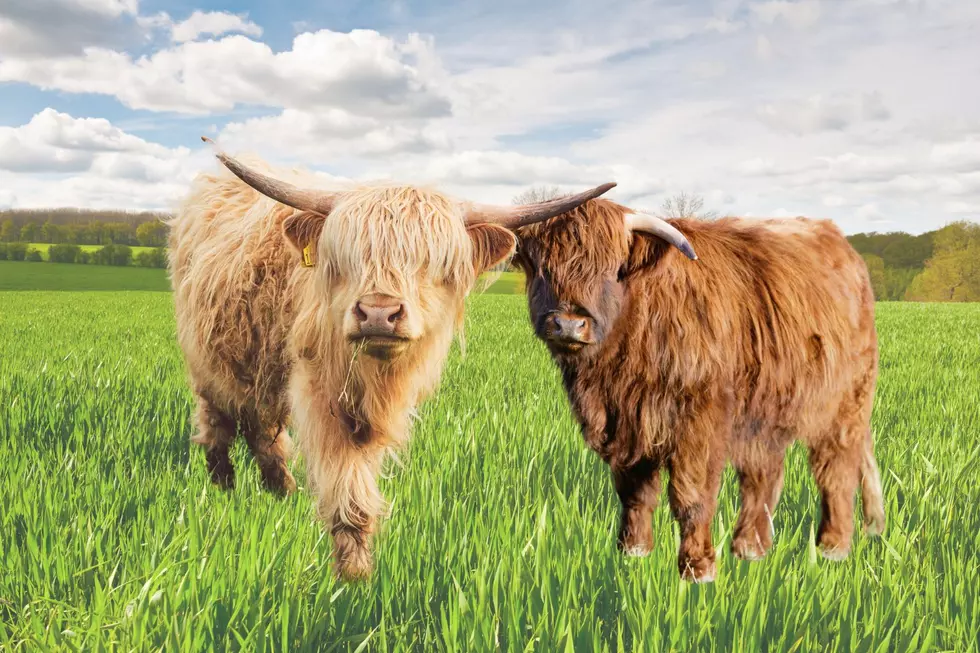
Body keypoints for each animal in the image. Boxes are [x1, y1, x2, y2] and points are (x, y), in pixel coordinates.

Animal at [167, 139, 615, 580]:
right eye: (346, 259)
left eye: (433, 263)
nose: (378, 313)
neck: (375, 376)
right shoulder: (320, 392)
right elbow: (347, 490)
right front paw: (352, 579)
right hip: (208, 359)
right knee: (218, 421)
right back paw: (223, 487)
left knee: (262, 429)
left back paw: (281, 491)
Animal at [510, 199, 886, 583]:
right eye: (541, 268)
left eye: (613, 269)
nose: (569, 324)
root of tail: (840, 244)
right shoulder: (626, 427)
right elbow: (635, 493)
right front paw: (633, 553)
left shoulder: (699, 422)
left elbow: (691, 495)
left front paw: (698, 569)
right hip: (764, 412)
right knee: (763, 475)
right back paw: (750, 549)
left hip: (843, 404)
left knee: (836, 469)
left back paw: (832, 547)